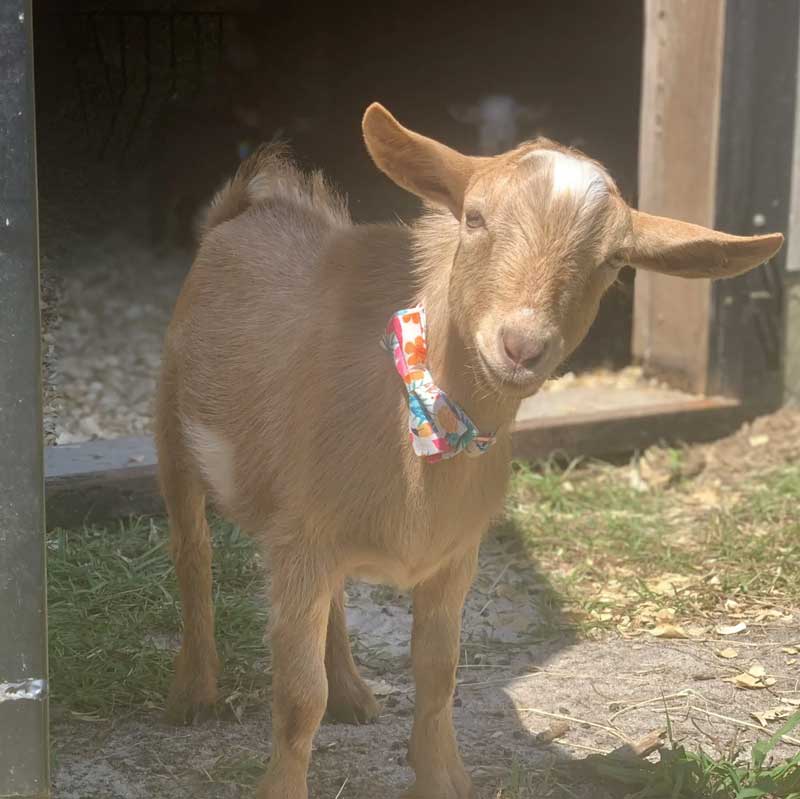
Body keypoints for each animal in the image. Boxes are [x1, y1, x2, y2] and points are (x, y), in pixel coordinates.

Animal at [155, 102, 783, 798]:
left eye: (614, 259)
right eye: (475, 217)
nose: (522, 345)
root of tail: (246, 208)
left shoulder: (452, 553)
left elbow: (438, 673)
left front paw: (442, 776)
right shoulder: (299, 545)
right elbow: (297, 699)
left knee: (334, 601)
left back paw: (350, 691)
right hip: (172, 425)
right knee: (192, 552)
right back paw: (193, 692)